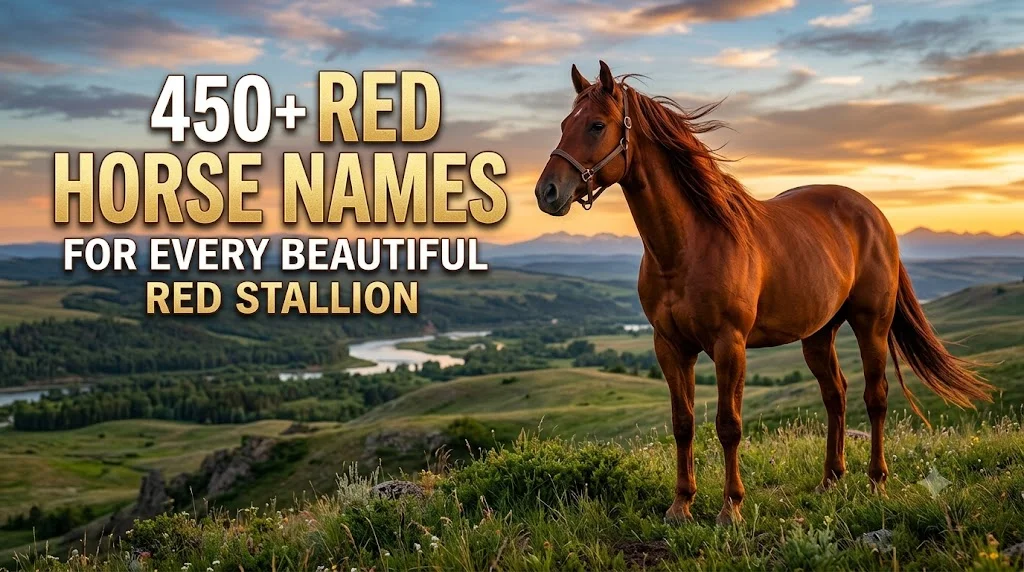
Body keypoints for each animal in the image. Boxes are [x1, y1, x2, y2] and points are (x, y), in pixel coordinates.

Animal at [534, 61, 994, 525]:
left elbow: (729, 425)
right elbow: (683, 423)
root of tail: (874, 215)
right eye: (564, 124)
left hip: (872, 325)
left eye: (596, 125)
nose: (547, 191)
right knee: (835, 395)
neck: (688, 245)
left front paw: (731, 507)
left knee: (875, 396)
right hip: (818, 334)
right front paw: (681, 504)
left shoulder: (729, 345)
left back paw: (876, 481)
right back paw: (830, 479)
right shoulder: (670, 346)